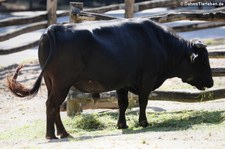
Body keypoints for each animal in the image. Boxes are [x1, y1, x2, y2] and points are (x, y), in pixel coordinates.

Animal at [7, 18, 214, 139]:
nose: (211, 82)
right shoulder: (147, 80)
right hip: (61, 83)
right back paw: (54, 135)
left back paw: (62, 133)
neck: (159, 43)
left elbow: (122, 103)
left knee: (55, 106)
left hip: (52, 83)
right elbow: (143, 102)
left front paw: (122, 124)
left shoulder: (123, 82)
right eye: (203, 61)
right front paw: (143, 122)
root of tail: (54, 28)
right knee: (51, 105)